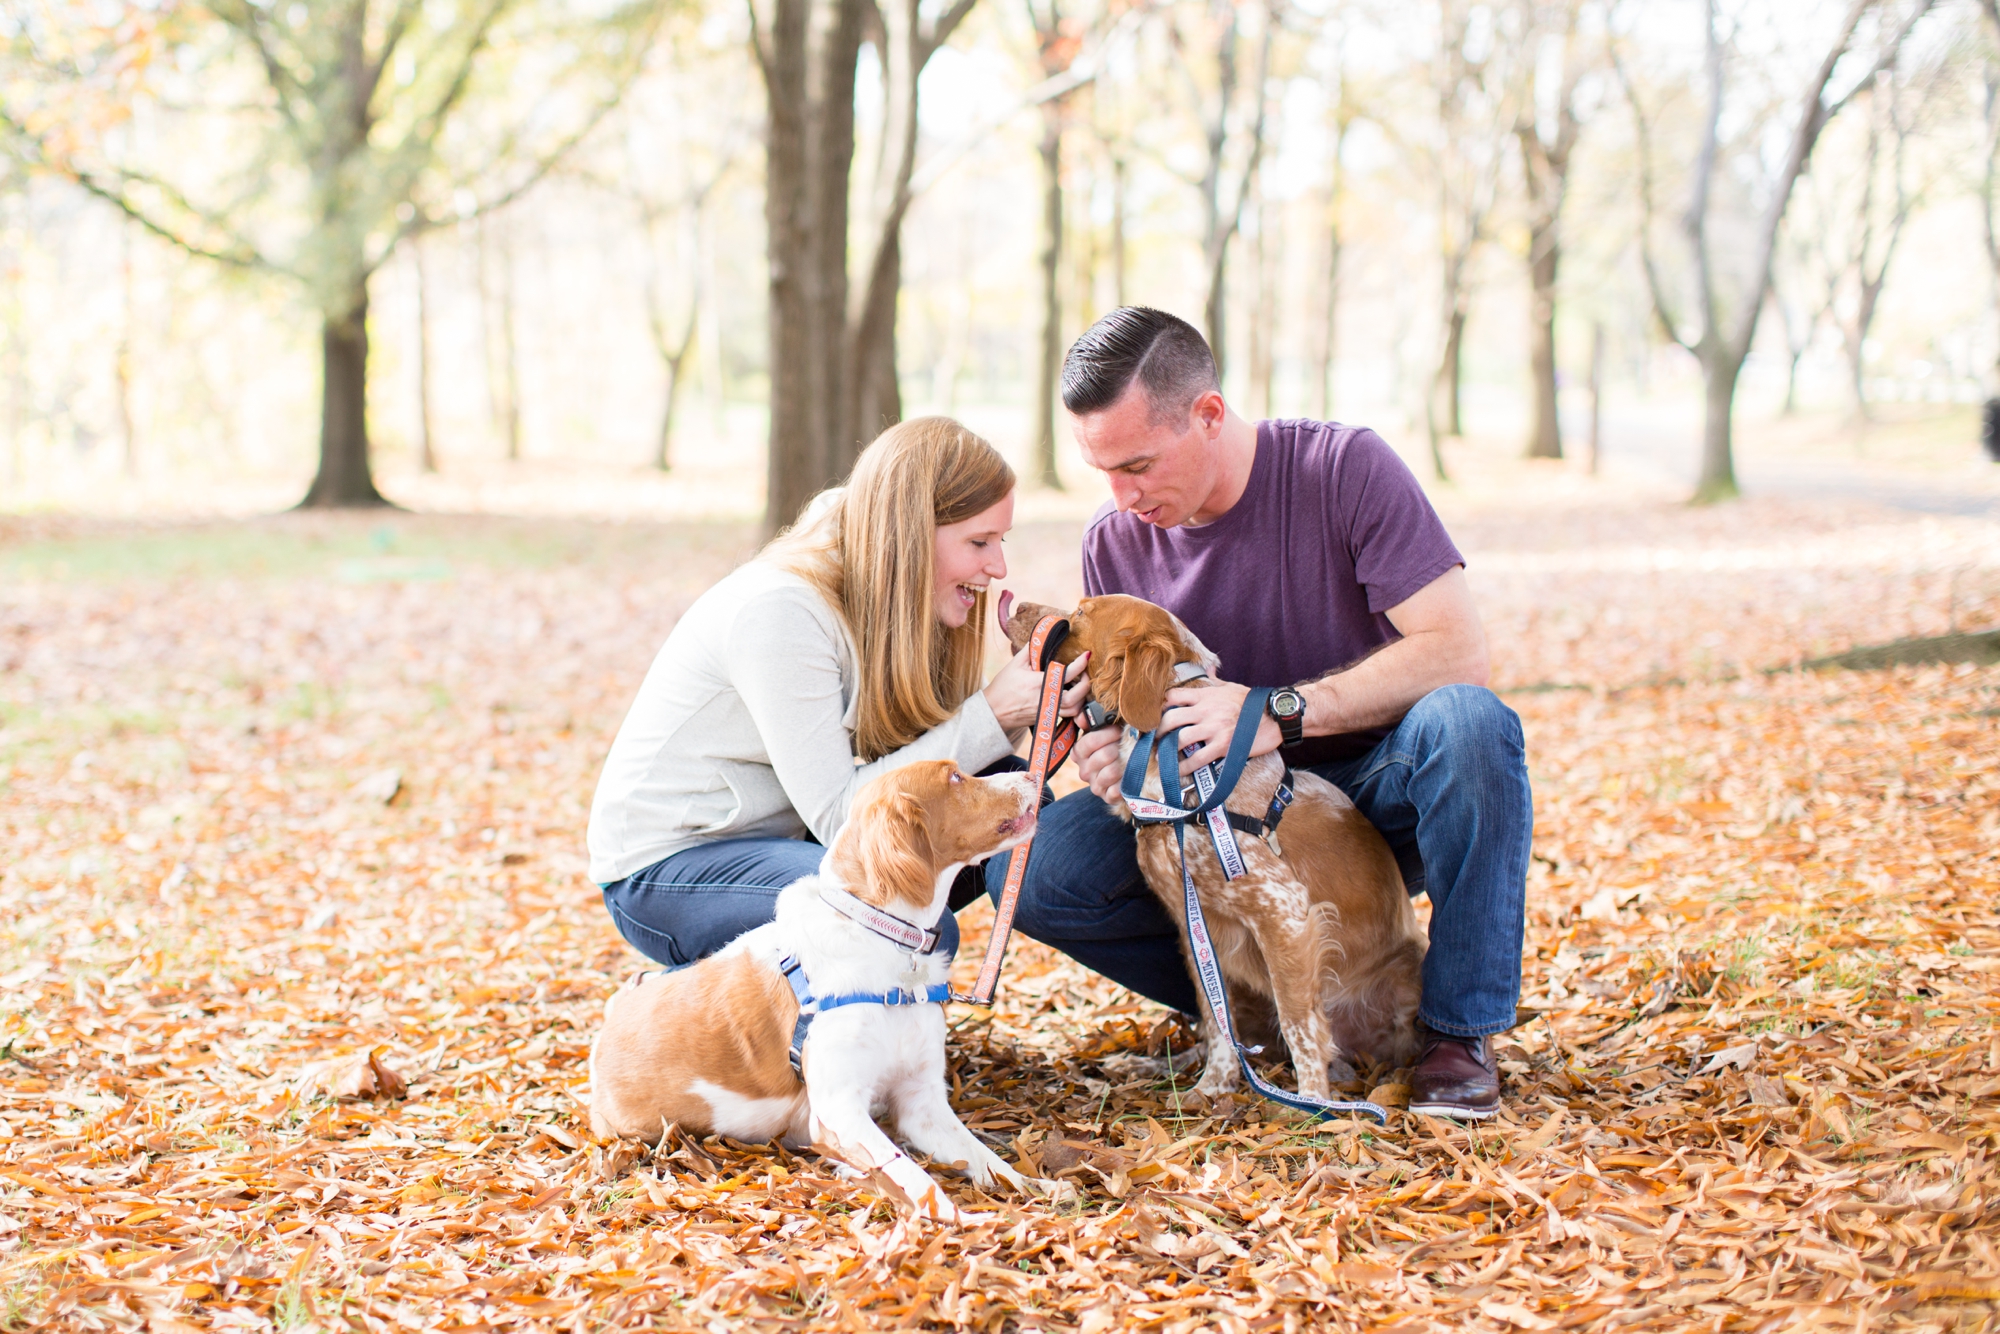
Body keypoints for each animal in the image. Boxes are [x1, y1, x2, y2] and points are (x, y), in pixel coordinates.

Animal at [584, 760, 1072, 1224]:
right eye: (955, 777)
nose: (1033, 775)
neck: (887, 940)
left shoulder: (921, 1101)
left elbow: (987, 1160)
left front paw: (1037, 1189)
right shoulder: (841, 1110)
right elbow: (917, 1178)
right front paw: (969, 1221)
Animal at [1008, 600, 1432, 1104]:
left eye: (1081, 612)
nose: (1017, 605)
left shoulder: (1283, 914)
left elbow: (1299, 1025)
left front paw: (1312, 1103)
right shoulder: (1197, 926)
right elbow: (1216, 1019)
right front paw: (1213, 1086)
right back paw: (1145, 1064)